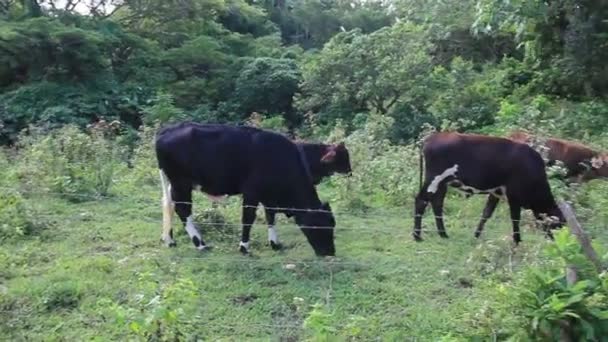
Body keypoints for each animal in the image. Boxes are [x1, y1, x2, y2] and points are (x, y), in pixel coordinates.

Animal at [156, 121, 338, 255]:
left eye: (332, 224)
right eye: (319, 226)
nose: (329, 252)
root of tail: (167, 130)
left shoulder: (268, 196)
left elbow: (270, 216)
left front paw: (275, 243)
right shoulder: (251, 192)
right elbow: (248, 218)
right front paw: (244, 247)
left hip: (174, 183)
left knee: (168, 204)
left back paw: (170, 240)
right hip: (181, 182)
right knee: (182, 209)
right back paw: (200, 244)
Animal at [414, 132, 564, 244]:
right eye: (557, 226)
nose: (554, 242)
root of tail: (432, 137)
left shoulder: (496, 192)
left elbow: (486, 213)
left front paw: (476, 234)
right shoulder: (513, 195)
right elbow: (515, 218)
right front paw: (517, 240)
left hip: (442, 183)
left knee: (437, 204)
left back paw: (443, 234)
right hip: (434, 179)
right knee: (421, 201)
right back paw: (417, 236)